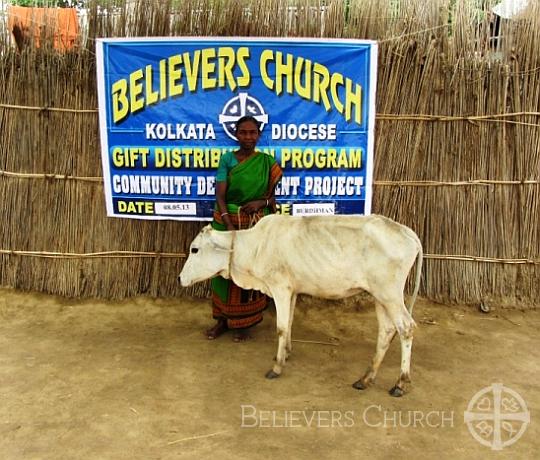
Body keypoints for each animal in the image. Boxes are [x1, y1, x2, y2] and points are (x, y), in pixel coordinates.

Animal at [179, 214, 424, 398]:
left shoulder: (280, 288)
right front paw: (285, 353)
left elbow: (281, 327)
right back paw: (366, 378)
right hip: (380, 297)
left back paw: (400, 383)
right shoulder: (293, 291)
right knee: (387, 331)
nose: (180, 278)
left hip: (390, 295)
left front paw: (277, 367)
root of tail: (406, 231)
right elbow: (289, 323)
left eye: (195, 249)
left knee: (406, 328)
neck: (255, 246)